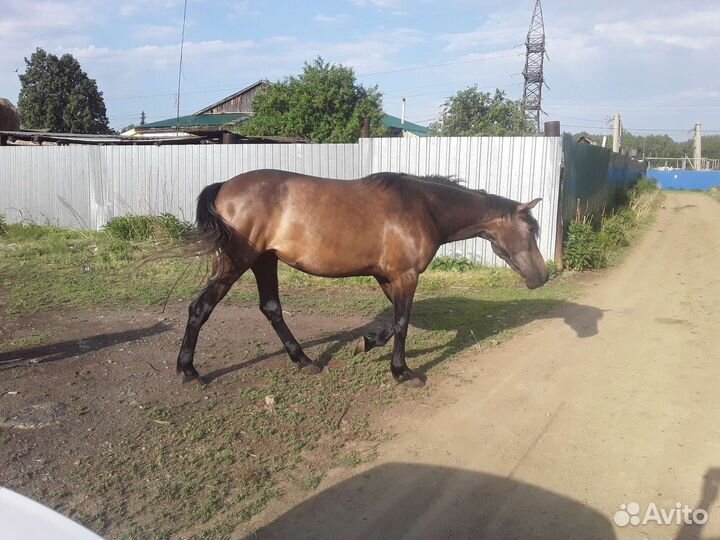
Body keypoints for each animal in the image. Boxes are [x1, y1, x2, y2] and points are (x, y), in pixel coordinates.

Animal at [177, 169, 548, 387]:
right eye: (531, 229)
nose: (542, 276)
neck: (423, 207)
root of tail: (224, 187)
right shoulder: (406, 276)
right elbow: (402, 323)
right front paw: (402, 373)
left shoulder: (388, 277)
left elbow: (394, 324)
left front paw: (366, 343)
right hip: (237, 263)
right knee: (200, 308)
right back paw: (189, 371)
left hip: (264, 261)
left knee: (271, 309)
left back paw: (305, 361)